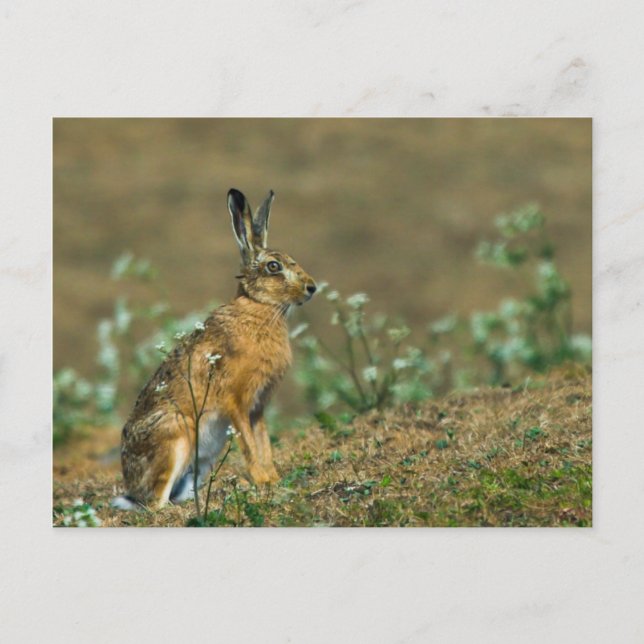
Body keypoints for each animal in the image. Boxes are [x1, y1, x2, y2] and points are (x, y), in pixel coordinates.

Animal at [111, 188, 317, 510]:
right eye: (274, 266)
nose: (312, 288)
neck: (258, 306)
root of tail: (132, 489)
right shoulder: (237, 401)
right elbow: (249, 446)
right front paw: (262, 481)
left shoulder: (257, 408)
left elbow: (264, 443)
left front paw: (272, 480)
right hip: (176, 438)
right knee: (157, 503)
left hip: (205, 456)